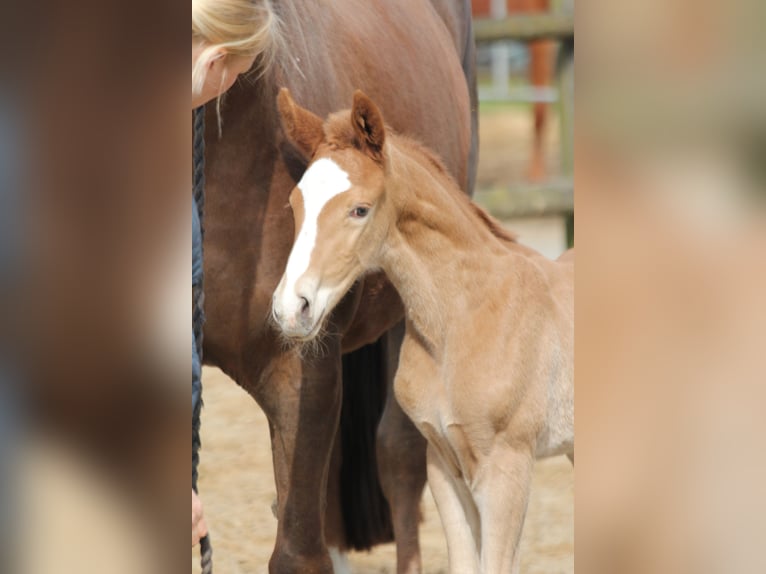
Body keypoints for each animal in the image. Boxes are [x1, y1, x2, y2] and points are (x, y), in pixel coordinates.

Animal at [272, 89, 572, 574]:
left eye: (359, 209)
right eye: (295, 205)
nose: (289, 308)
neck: (461, 319)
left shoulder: (506, 468)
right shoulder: (444, 466)